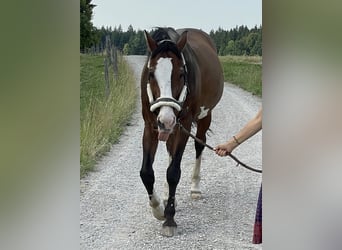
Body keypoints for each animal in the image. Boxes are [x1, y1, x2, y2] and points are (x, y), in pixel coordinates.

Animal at [140, 27, 224, 236]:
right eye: (151, 74)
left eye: (180, 74)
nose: (166, 119)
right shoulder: (150, 126)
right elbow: (146, 172)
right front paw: (158, 208)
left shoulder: (183, 125)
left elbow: (173, 172)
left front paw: (169, 219)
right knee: (170, 150)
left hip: (203, 117)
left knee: (199, 145)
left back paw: (195, 188)